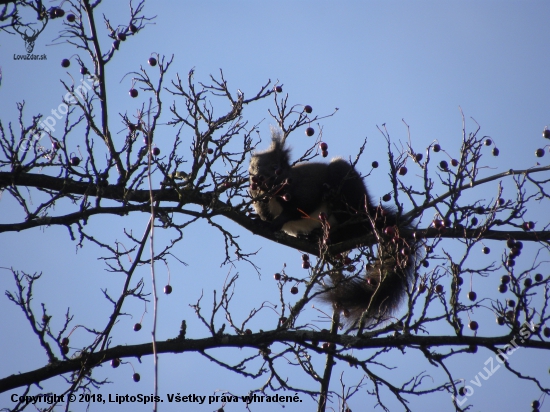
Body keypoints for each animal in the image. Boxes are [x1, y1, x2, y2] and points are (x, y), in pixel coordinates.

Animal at [250, 130, 418, 326]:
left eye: (275, 166)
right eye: (252, 167)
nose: (258, 177)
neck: (272, 194)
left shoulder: (304, 189)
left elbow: (298, 208)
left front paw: (278, 221)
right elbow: (265, 215)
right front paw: (261, 221)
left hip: (348, 195)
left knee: (351, 227)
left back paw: (329, 235)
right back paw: (313, 236)